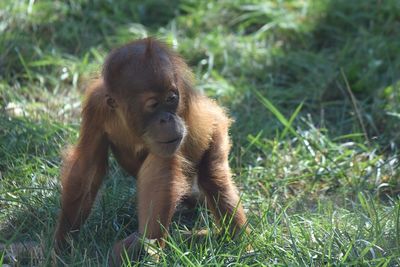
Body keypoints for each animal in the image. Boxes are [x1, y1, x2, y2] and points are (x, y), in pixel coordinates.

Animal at [54, 37, 248, 266]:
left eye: (172, 99)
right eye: (153, 104)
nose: (168, 119)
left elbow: (162, 170)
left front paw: (146, 246)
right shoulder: (96, 106)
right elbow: (87, 166)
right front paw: (62, 243)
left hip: (217, 127)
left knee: (213, 178)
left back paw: (234, 240)